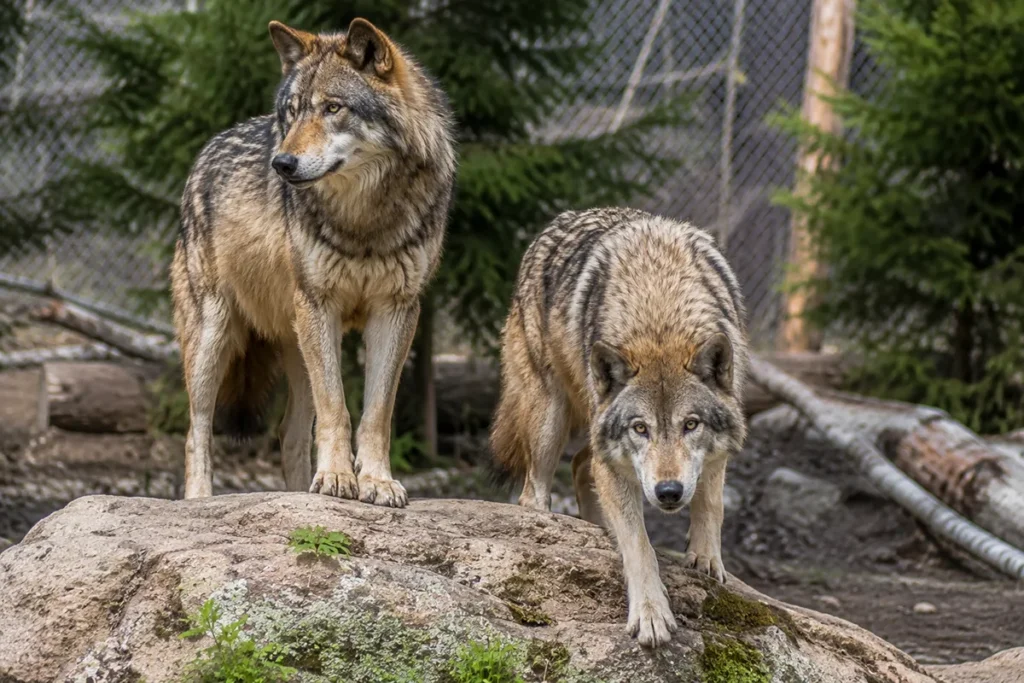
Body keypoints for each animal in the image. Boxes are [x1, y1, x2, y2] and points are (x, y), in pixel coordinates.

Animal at [170, 18, 456, 506]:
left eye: (333, 108)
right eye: (292, 111)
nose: (281, 163)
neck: (364, 219)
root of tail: (205, 152)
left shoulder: (396, 309)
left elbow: (376, 413)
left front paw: (376, 481)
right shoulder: (321, 304)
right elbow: (337, 409)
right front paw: (340, 478)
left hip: (298, 341)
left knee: (289, 433)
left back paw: (301, 493)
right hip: (215, 336)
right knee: (197, 430)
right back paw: (200, 500)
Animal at [491, 207, 748, 647]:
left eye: (691, 425)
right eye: (640, 428)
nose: (668, 491)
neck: (660, 319)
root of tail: (554, 224)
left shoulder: (715, 452)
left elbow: (711, 504)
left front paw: (706, 557)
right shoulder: (614, 464)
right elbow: (639, 545)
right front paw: (650, 613)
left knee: (581, 463)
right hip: (549, 420)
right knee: (535, 488)